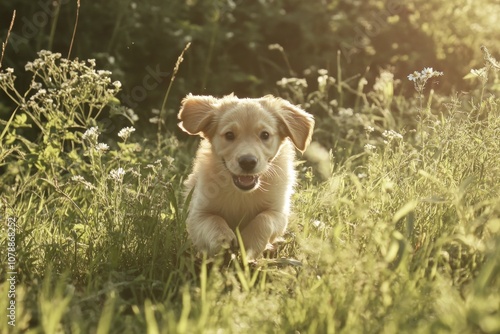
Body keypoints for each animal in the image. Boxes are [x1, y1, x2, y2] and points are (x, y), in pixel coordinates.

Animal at [178, 92, 314, 260]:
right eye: (229, 135)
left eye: (265, 135)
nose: (247, 162)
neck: (242, 193)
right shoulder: (197, 214)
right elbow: (213, 220)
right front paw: (223, 240)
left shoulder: (279, 212)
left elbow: (264, 219)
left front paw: (248, 242)